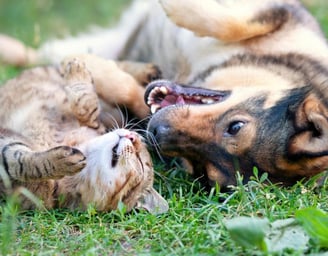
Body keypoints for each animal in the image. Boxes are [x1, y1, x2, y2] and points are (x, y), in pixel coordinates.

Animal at [0, 55, 168, 215]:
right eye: (140, 140)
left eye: (140, 161)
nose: (132, 136)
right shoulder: (94, 123)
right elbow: (87, 105)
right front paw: (77, 71)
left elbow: (21, 164)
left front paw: (61, 160)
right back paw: (149, 72)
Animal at [1, 0, 328, 189]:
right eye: (235, 126)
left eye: (202, 168)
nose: (155, 133)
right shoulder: (283, 12)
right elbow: (235, 21)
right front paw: (176, 6)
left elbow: (130, 93)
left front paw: (95, 68)